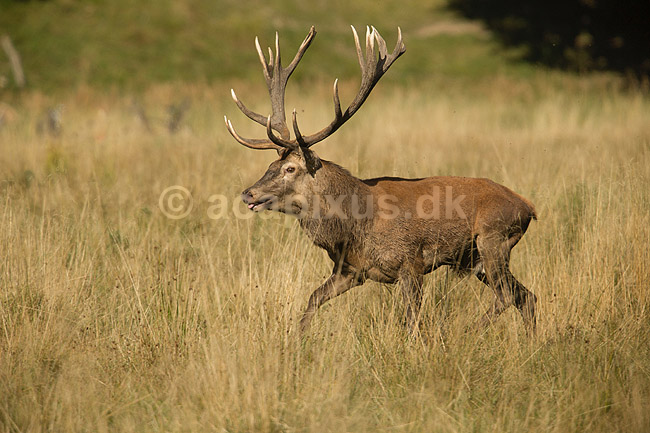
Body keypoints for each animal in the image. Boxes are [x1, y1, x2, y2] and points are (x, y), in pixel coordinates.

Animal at [224, 26, 538, 336]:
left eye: (290, 169)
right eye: (271, 165)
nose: (248, 193)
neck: (355, 225)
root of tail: (528, 207)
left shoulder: (411, 263)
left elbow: (412, 323)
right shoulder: (350, 270)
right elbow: (312, 299)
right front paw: (297, 340)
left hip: (493, 238)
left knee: (506, 295)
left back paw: (466, 332)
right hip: (475, 257)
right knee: (527, 296)